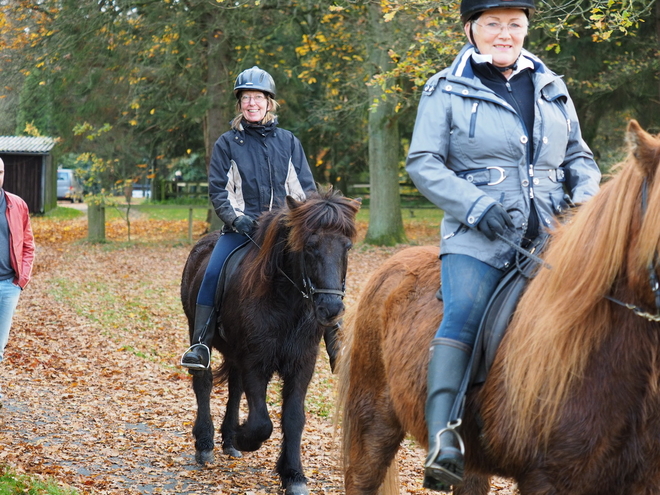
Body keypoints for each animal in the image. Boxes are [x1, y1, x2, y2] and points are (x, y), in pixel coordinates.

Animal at [180, 188, 358, 494]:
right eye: (310, 245)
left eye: (346, 247)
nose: (331, 309)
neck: (286, 302)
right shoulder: (256, 361)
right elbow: (262, 422)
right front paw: (244, 437)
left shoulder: (302, 364)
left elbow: (294, 418)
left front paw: (294, 475)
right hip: (199, 333)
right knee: (203, 383)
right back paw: (206, 443)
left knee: (235, 388)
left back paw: (229, 440)